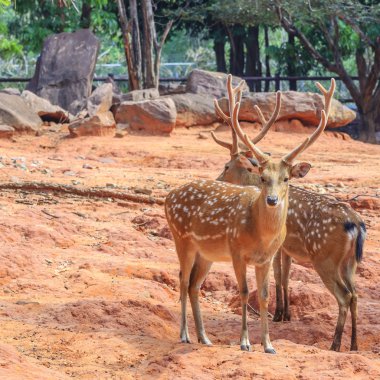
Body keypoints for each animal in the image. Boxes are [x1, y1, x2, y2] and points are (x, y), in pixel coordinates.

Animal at [165, 75, 328, 354]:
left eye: (286, 178)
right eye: (262, 178)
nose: (272, 200)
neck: (259, 234)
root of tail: (167, 197)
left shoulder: (266, 258)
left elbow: (263, 296)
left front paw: (268, 344)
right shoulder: (236, 251)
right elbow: (243, 291)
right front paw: (244, 342)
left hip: (205, 253)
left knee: (195, 284)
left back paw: (204, 338)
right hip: (181, 239)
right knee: (183, 281)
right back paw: (185, 335)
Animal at [214, 75, 366, 352]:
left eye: (226, 166)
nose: (217, 179)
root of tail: (357, 225)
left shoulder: (279, 246)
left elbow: (277, 276)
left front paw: (278, 314)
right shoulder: (288, 249)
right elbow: (285, 277)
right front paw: (285, 314)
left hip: (325, 258)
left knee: (345, 296)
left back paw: (335, 344)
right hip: (350, 262)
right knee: (356, 294)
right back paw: (354, 345)